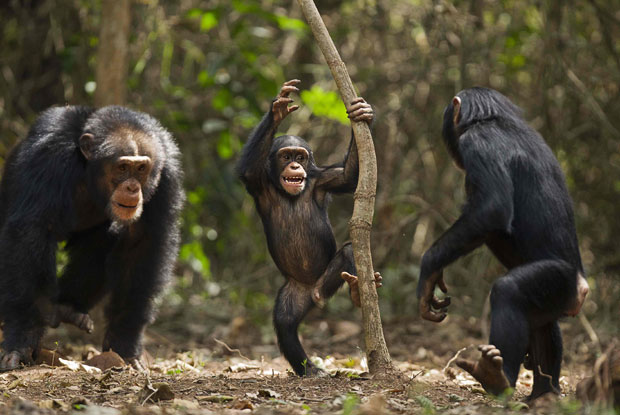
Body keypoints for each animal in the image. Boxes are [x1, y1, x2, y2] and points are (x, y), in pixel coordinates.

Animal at [0, 105, 184, 372]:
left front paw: (124, 343)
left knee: (105, 240)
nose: (132, 187)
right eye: (122, 168)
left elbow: (142, 243)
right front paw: (23, 338)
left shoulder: (167, 174)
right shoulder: (49, 154)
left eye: (141, 169)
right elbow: (32, 230)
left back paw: (67, 309)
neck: (89, 172)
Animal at [239, 79, 380, 376]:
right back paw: (309, 369)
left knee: (348, 254)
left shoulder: (324, 180)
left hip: (325, 280)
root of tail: (310, 293)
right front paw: (278, 110)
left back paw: (353, 291)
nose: (294, 164)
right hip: (291, 294)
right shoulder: (258, 182)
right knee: (285, 325)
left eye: (301, 157)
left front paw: (363, 113)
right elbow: (248, 170)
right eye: (286, 156)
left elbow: (349, 177)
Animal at [416, 88, 592, 404]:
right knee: (543, 325)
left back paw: (499, 378)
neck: (490, 119)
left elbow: (492, 210)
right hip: (558, 300)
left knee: (508, 291)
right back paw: (543, 394)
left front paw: (429, 270)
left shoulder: (477, 144)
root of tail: (582, 287)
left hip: (558, 281)